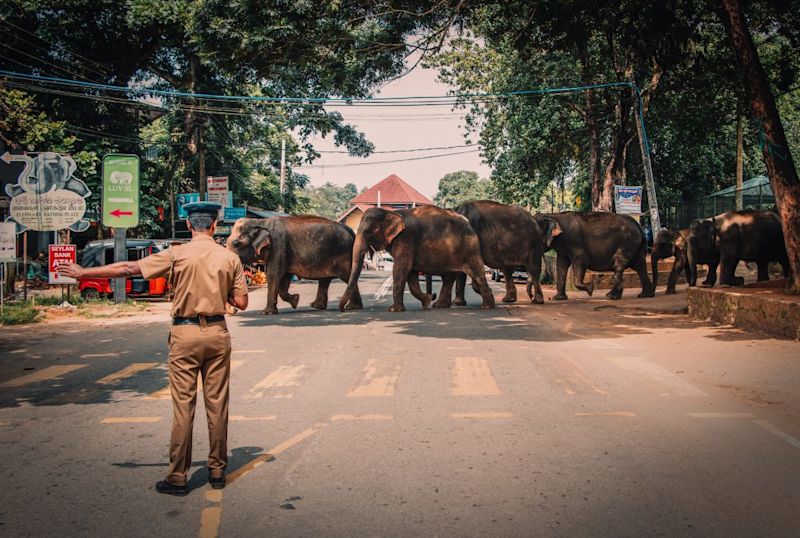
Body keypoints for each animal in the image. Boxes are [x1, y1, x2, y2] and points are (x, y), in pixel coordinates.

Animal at [225, 215, 362, 312]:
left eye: (236, 244)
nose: (234, 309)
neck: (260, 222)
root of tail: (350, 230)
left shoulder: (278, 247)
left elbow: (274, 274)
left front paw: (266, 312)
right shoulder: (282, 252)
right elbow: (284, 277)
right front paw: (295, 300)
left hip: (342, 255)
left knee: (348, 277)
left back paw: (352, 308)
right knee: (325, 280)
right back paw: (317, 306)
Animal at [340, 204, 496, 312]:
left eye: (368, 231)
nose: (343, 309)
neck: (391, 213)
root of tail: (470, 224)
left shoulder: (406, 239)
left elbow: (401, 269)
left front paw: (393, 310)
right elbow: (411, 275)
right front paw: (427, 301)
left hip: (470, 249)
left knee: (476, 273)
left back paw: (487, 307)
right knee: (449, 277)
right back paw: (439, 305)